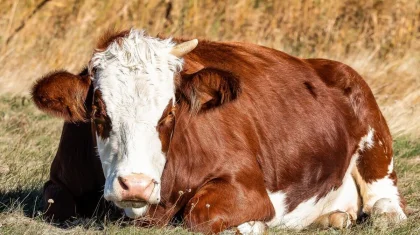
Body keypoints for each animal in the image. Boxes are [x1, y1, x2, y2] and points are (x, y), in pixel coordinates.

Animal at [32, 29, 406, 233]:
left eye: (171, 112)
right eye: (98, 110)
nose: (135, 184)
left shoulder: (249, 186)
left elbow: (201, 212)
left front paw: (252, 225)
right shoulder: (60, 179)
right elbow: (55, 205)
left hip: (375, 141)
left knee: (385, 204)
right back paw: (333, 218)